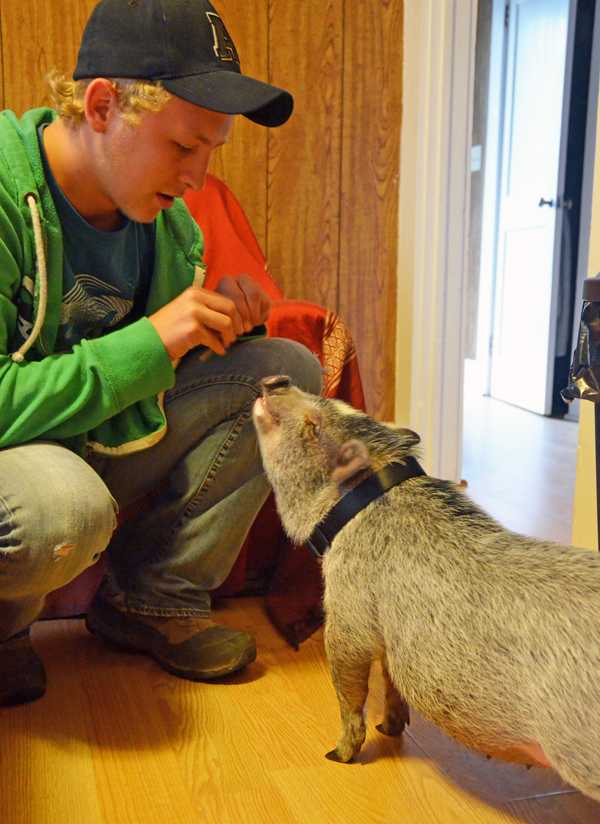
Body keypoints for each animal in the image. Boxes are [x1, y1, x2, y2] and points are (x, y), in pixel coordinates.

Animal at [252, 376, 600, 800]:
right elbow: (390, 677)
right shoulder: (389, 633)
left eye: (313, 426)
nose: (277, 380)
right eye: (335, 402)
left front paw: (338, 755)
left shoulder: (348, 609)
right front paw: (389, 728)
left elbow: (348, 685)